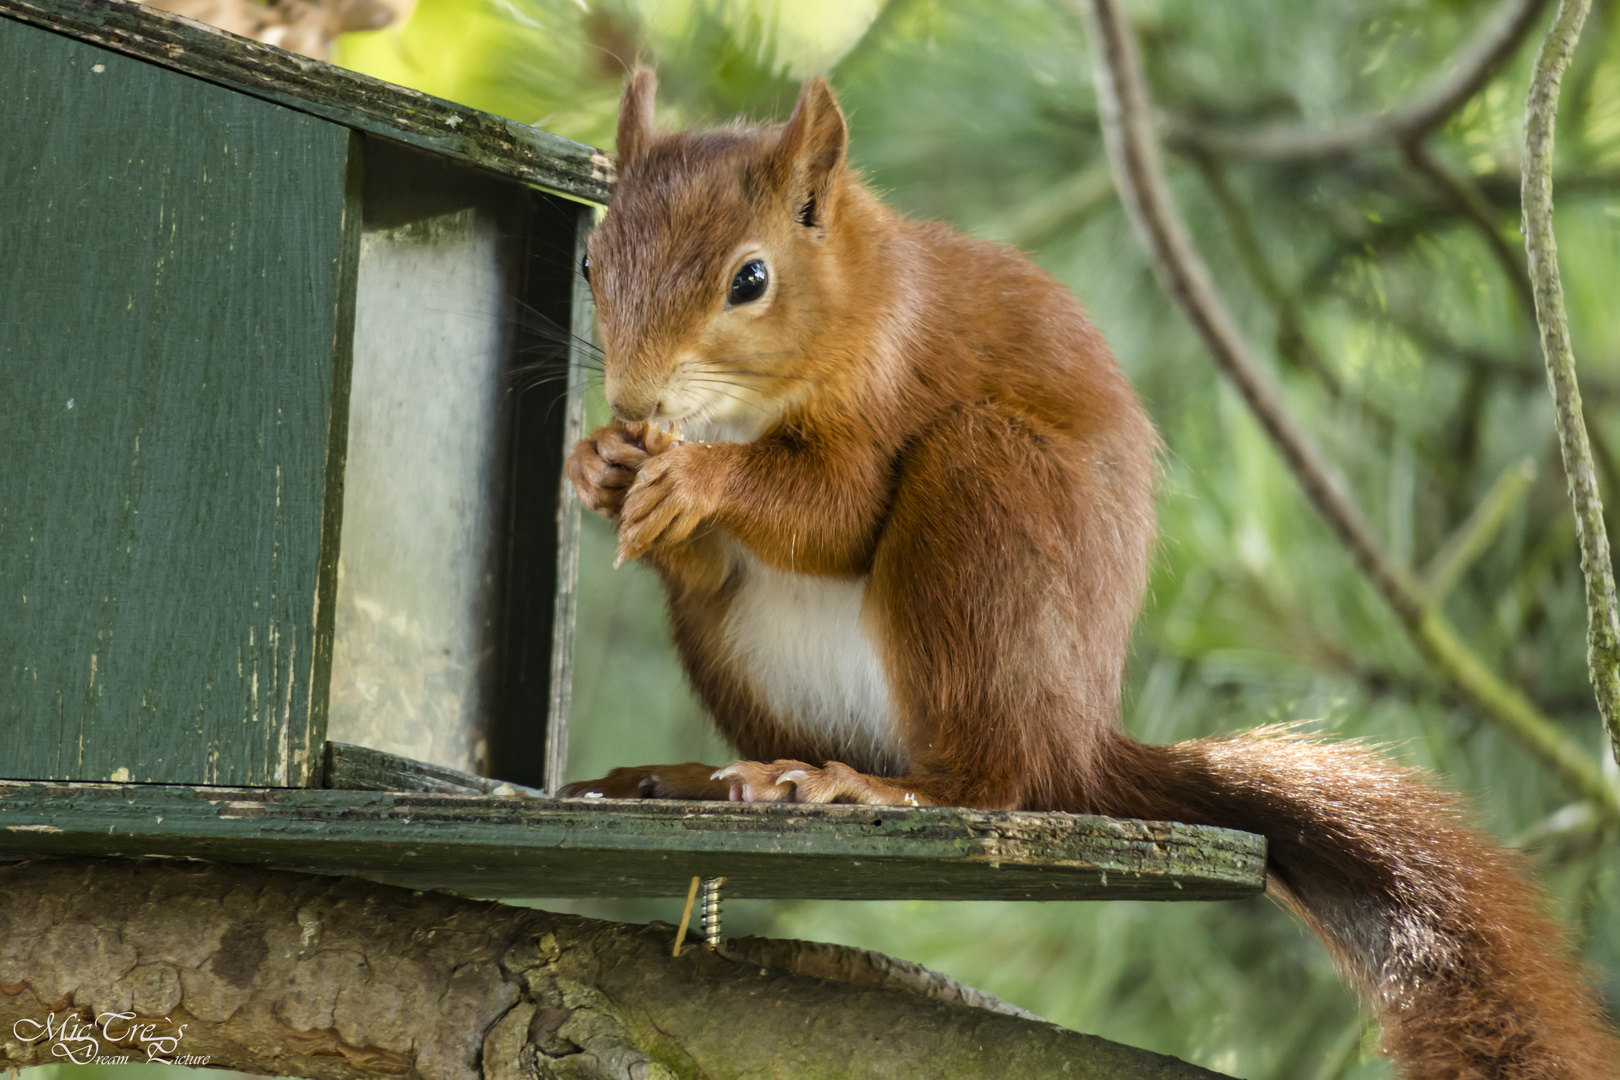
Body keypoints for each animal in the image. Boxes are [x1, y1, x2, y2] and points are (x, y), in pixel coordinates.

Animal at [560, 71, 1620, 1075]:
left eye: (750, 278)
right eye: (589, 262)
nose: (634, 401)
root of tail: (1079, 740)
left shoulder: (893, 377)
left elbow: (837, 512)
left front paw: (695, 477)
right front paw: (598, 464)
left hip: (986, 508)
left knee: (989, 782)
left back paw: (868, 792)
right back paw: (698, 778)